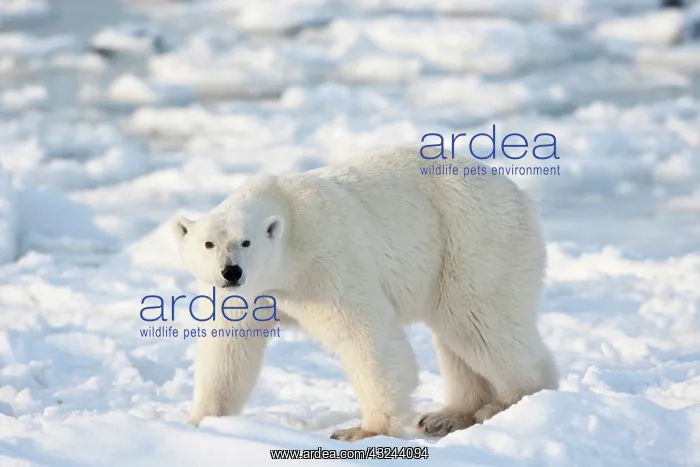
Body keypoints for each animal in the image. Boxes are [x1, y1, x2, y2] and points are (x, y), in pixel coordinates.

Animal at [171, 147, 558, 442]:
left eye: (246, 242)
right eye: (208, 243)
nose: (231, 272)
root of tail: (517, 193)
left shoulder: (325, 260)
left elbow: (365, 334)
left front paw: (363, 430)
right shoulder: (242, 297)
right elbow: (227, 351)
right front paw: (200, 421)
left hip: (471, 240)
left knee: (478, 322)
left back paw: (512, 401)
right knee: (458, 337)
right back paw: (447, 415)